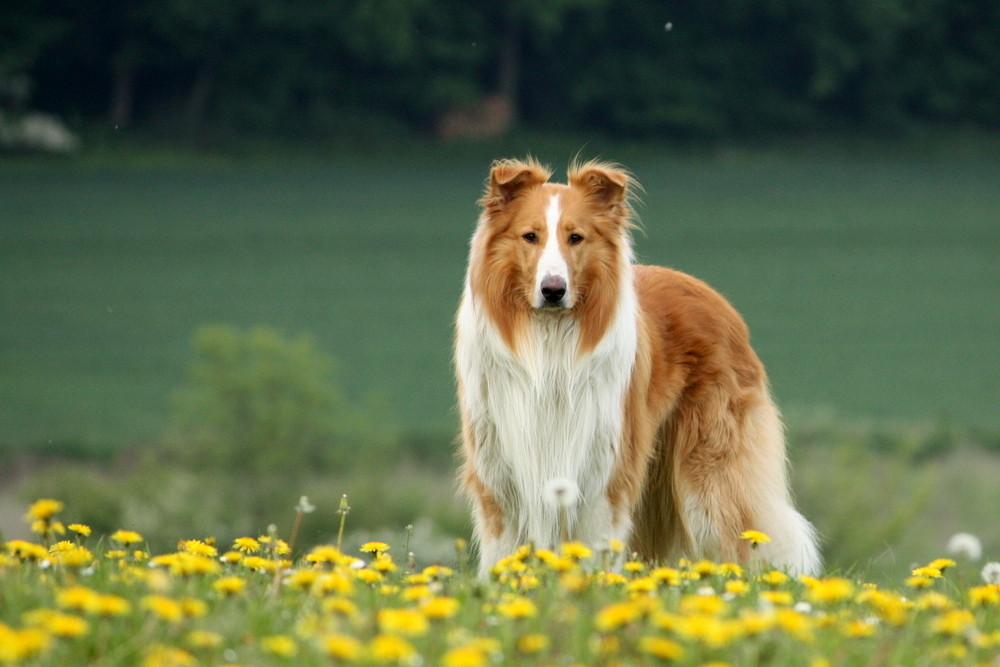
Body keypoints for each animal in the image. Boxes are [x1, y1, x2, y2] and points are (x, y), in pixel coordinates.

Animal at [454, 159, 820, 576]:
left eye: (576, 238)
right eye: (530, 236)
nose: (553, 290)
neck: (549, 343)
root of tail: (719, 301)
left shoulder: (603, 470)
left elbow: (593, 546)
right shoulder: (500, 471)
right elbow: (504, 551)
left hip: (706, 477)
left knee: (737, 540)